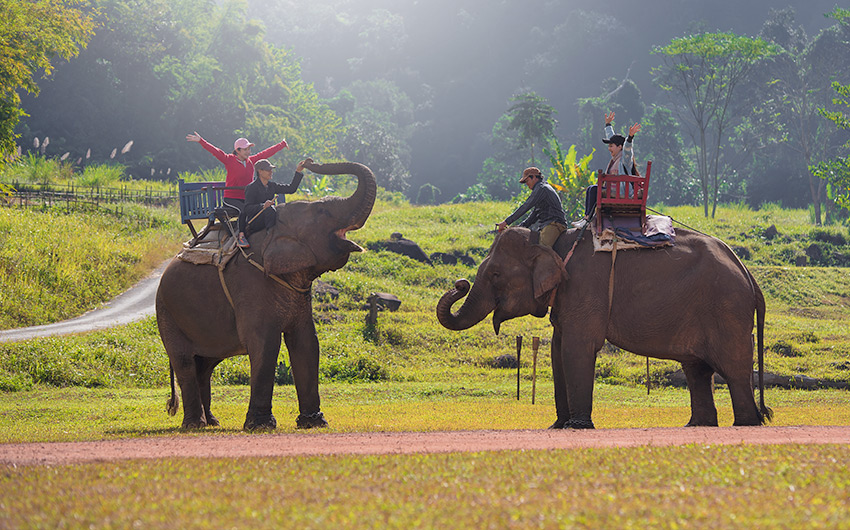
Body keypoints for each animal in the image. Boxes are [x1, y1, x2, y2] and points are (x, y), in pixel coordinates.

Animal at [156, 161, 376, 430]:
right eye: (322, 211)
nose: (310, 162)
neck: (272, 230)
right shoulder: (251, 284)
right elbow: (266, 343)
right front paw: (260, 425)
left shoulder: (298, 293)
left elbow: (307, 342)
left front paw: (314, 422)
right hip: (167, 311)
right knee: (185, 362)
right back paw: (195, 425)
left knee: (205, 364)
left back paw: (212, 422)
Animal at [437, 226, 771, 429]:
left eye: (495, 274)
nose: (460, 284)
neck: (551, 242)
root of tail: (748, 274)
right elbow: (558, 351)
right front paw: (559, 426)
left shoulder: (584, 288)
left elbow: (577, 348)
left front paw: (578, 426)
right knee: (697, 369)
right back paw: (698, 425)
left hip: (727, 310)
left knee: (732, 368)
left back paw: (746, 424)